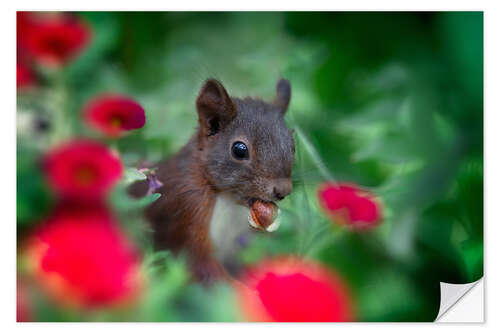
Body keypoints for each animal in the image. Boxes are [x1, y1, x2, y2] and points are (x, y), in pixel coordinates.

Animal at [129, 78, 294, 286]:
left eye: (293, 146)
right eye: (239, 149)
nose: (283, 191)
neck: (229, 200)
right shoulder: (186, 209)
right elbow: (202, 266)